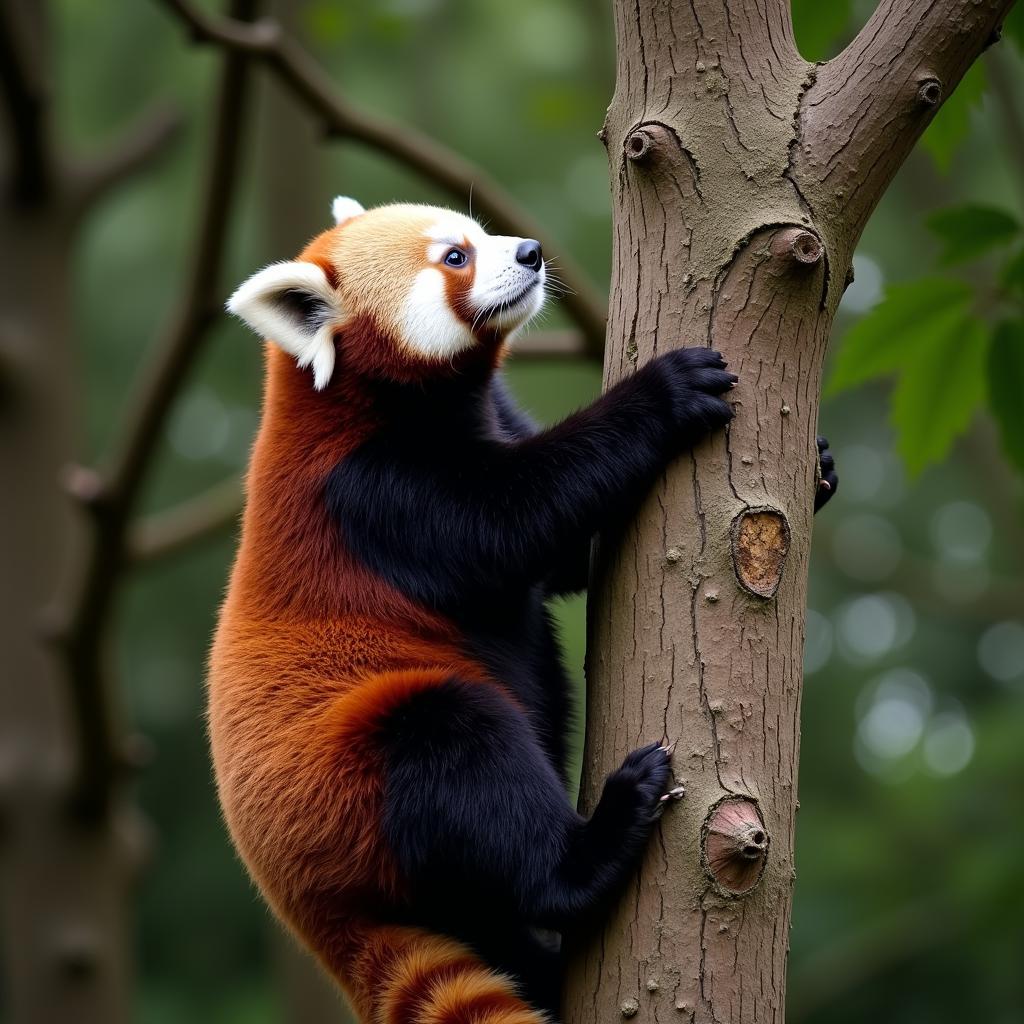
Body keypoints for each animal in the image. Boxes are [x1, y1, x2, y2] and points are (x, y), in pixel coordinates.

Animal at [209, 195, 753, 1019]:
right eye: (454, 257)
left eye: (479, 234)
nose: (529, 252)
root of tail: (312, 911)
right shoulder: (373, 495)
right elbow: (515, 520)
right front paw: (664, 392)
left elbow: (563, 559)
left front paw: (819, 469)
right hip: (366, 773)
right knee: (462, 752)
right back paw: (597, 841)